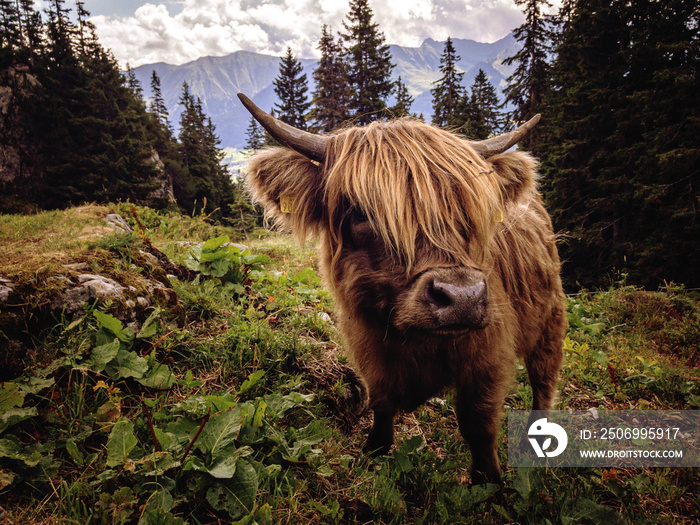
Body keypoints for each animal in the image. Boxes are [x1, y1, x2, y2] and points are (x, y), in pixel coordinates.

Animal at [238, 94, 568, 484]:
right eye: (360, 212)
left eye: (470, 210)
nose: (462, 299)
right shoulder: (368, 346)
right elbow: (381, 402)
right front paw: (373, 452)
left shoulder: (488, 355)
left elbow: (478, 424)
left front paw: (487, 481)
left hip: (550, 319)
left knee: (544, 379)